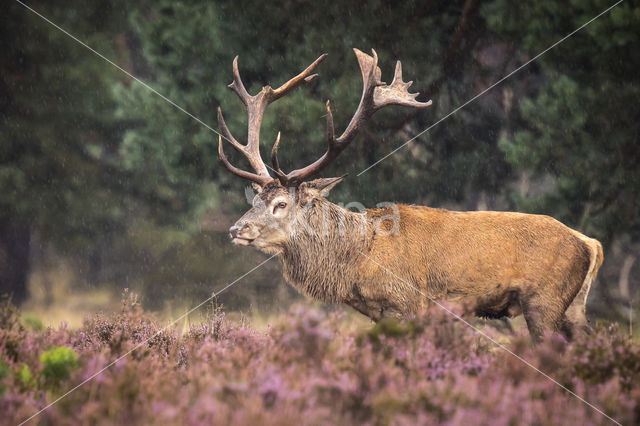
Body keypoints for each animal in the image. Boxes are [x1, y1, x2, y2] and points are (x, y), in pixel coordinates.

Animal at [218, 49, 604, 342]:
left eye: (281, 204)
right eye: (254, 201)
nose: (236, 230)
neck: (358, 259)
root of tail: (590, 244)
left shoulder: (407, 304)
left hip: (545, 299)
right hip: (573, 306)